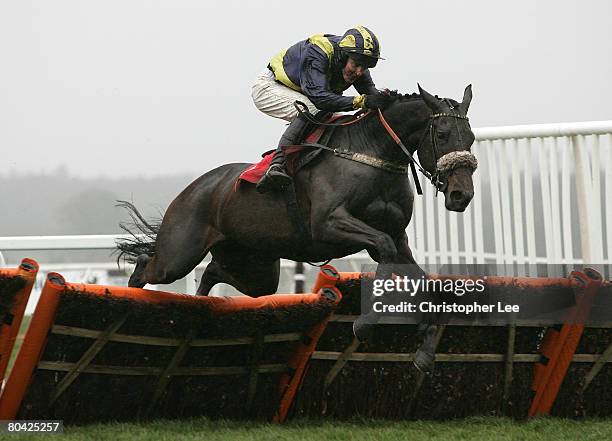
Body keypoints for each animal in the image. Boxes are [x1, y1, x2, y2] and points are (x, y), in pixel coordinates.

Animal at [117, 85, 476, 372]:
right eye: (442, 134)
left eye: (471, 138)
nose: (462, 195)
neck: (370, 153)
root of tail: (193, 188)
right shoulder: (329, 224)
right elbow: (383, 247)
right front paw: (364, 323)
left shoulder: (398, 238)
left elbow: (424, 282)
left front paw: (425, 350)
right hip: (179, 254)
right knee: (146, 267)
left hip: (255, 266)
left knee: (214, 272)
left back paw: (201, 303)